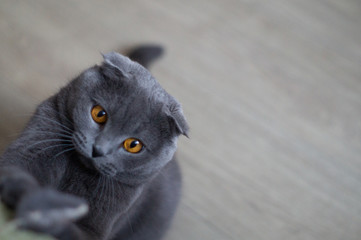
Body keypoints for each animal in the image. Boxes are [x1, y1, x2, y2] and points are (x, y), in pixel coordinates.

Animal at [0, 46, 188, 239]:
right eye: (99, 114)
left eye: (134, 145)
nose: (98, 150)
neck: (76, 169)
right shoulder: (34, 142)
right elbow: (15, 170)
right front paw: (35, 203)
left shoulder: (99, 225)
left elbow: (73, 231)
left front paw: (47, 213)